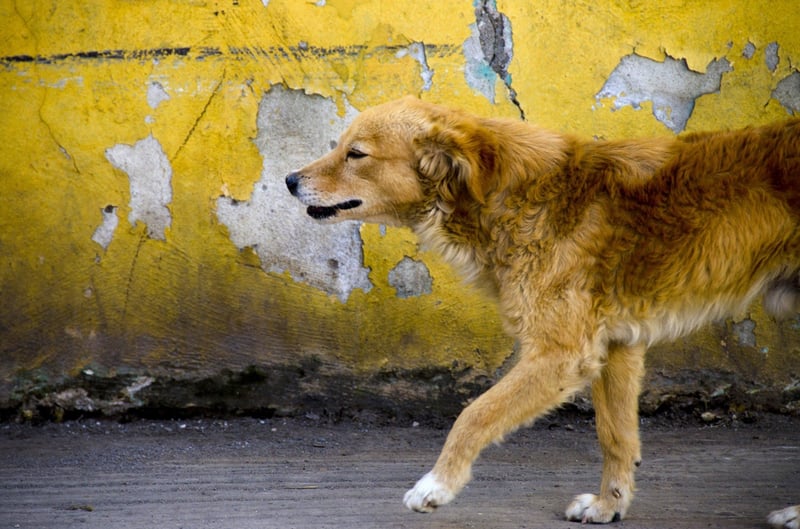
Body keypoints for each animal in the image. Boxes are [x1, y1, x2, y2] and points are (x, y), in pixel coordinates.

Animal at [284, 97, 796, 524]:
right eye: (342, 147)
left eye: (356, 154)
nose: (289, 180)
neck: (506, 196)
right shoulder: (617, 346)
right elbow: (616, 437)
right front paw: (609, 505)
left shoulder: (562, 353)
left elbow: (474, 414)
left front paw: (437, 485)